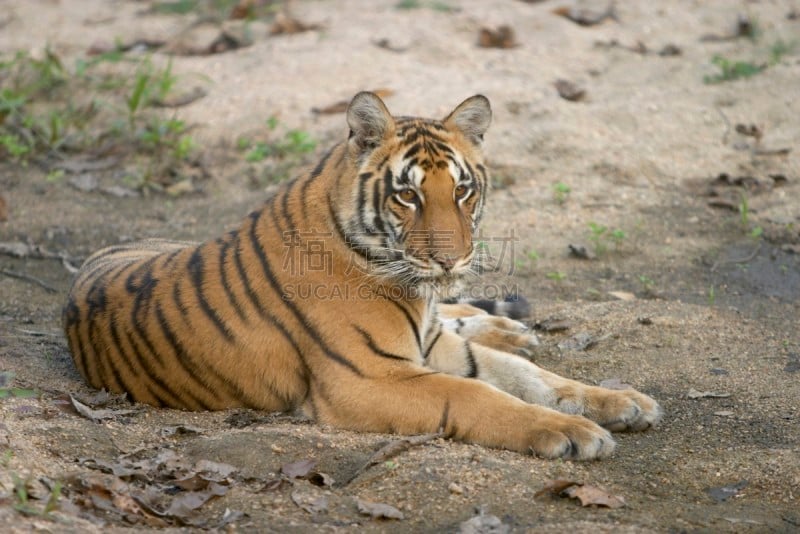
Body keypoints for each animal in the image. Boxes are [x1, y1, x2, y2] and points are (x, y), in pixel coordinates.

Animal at [62, 92, 664, 460]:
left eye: (462, 190)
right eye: (408, 195)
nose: (451, 261)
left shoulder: (432, 345)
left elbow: (531, 378)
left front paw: (622, 402)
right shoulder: (368, 378)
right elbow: (480, 396)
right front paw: (572, 433)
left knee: (467, 319)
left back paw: (510, 327)